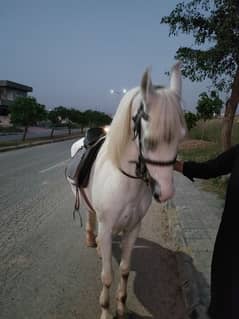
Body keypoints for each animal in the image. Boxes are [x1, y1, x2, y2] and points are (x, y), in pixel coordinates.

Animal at [68, 63, 186, 319]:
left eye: (181, 137)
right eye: (149, 140)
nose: (165, 192)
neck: (125, 180)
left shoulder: (133, 228)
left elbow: (123, 270)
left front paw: (121, 306)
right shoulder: (108, 225)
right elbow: (107, 276)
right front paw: (105, 310)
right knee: (91, 216)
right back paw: (93, 241)